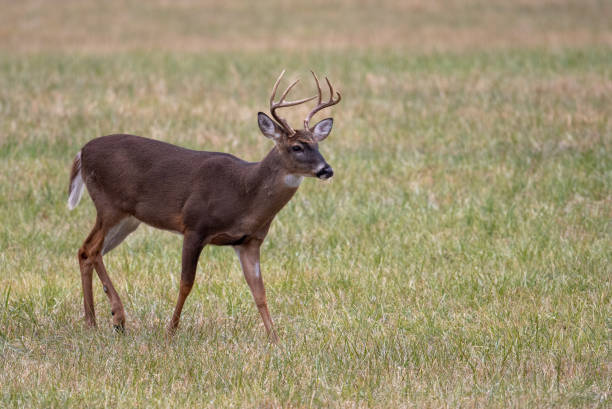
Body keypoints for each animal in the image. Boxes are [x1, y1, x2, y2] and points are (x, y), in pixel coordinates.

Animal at [69, 70, 342, 342]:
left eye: (317, 145)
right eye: (296, 147)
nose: (327, 169)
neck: (245, 193)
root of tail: (82, 152)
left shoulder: (249, 241)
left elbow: (259, 291)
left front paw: (274, 337)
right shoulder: (194, 226)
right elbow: (186, 283)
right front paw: (171, 330)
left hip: (128, 219)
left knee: (87, 251)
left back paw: (93, 322)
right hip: (109, 204)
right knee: (92, 249)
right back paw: (116, 317)